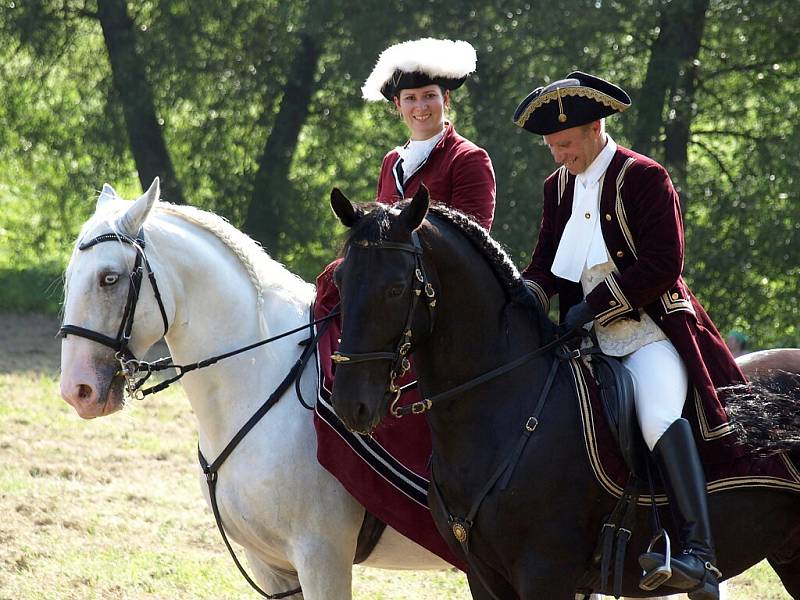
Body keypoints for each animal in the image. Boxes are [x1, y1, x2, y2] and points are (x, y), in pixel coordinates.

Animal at [324, 185, 800, 596]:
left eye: (395, 288)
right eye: (341, 283)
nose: (350, 404)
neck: (504, 407)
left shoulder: (545, 572)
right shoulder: (484, 575)